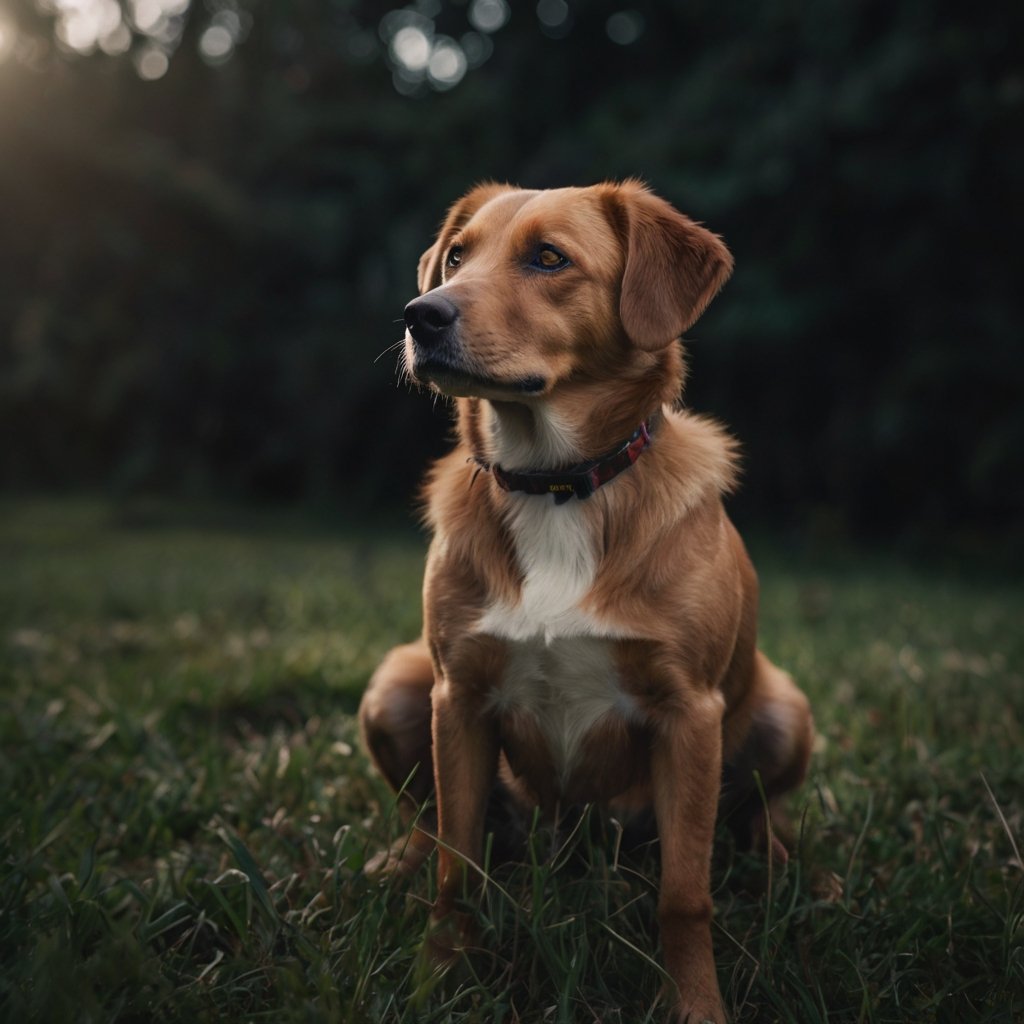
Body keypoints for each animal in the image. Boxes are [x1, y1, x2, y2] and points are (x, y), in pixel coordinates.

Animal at [360, 182, 815, 1024]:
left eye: (549, 258)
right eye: (458, 257)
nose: (419, 314)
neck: (555, 484)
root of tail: (579, 845)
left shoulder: (689, 712)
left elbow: (684, 897)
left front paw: (695, 1005)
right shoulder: (458, 698)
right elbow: (456, 872)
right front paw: (438, 983)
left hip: (782, 711)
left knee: (760, 819)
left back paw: (794, 878)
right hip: (397, 687)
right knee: (431, 821)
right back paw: (398, 861)